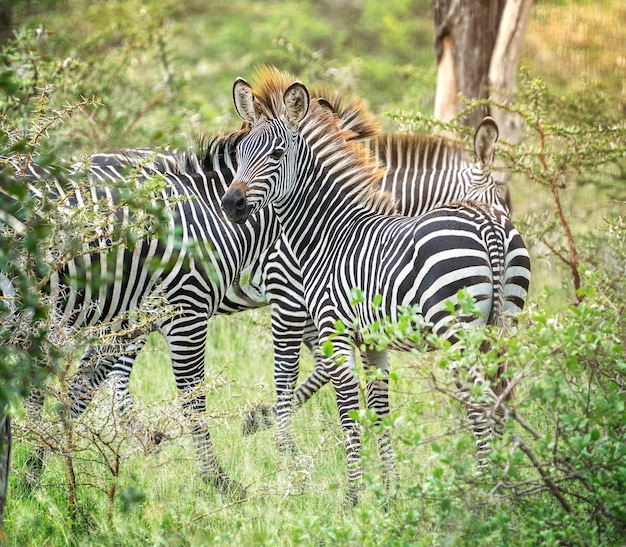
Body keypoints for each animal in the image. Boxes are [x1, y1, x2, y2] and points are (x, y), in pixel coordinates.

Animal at [3, 131, 282, 498]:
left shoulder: (125, 319)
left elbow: (80, 389)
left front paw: (35, 470)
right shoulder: (185, 312)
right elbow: (195, 398)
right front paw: (221, 479)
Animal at [219, 67, 528, 506]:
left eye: (277, 155)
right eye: (241, 151)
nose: (231, 205)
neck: (329, 233)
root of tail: (488, 224)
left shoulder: (331, 330)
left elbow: (348, 413)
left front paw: (352, 497)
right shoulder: (373, 341)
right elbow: (379, 412)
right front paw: (390, 492)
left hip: (458, 332)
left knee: (481, 401)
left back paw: (489, 490)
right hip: (506, 324)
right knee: (500, 398)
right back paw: (505, 485)